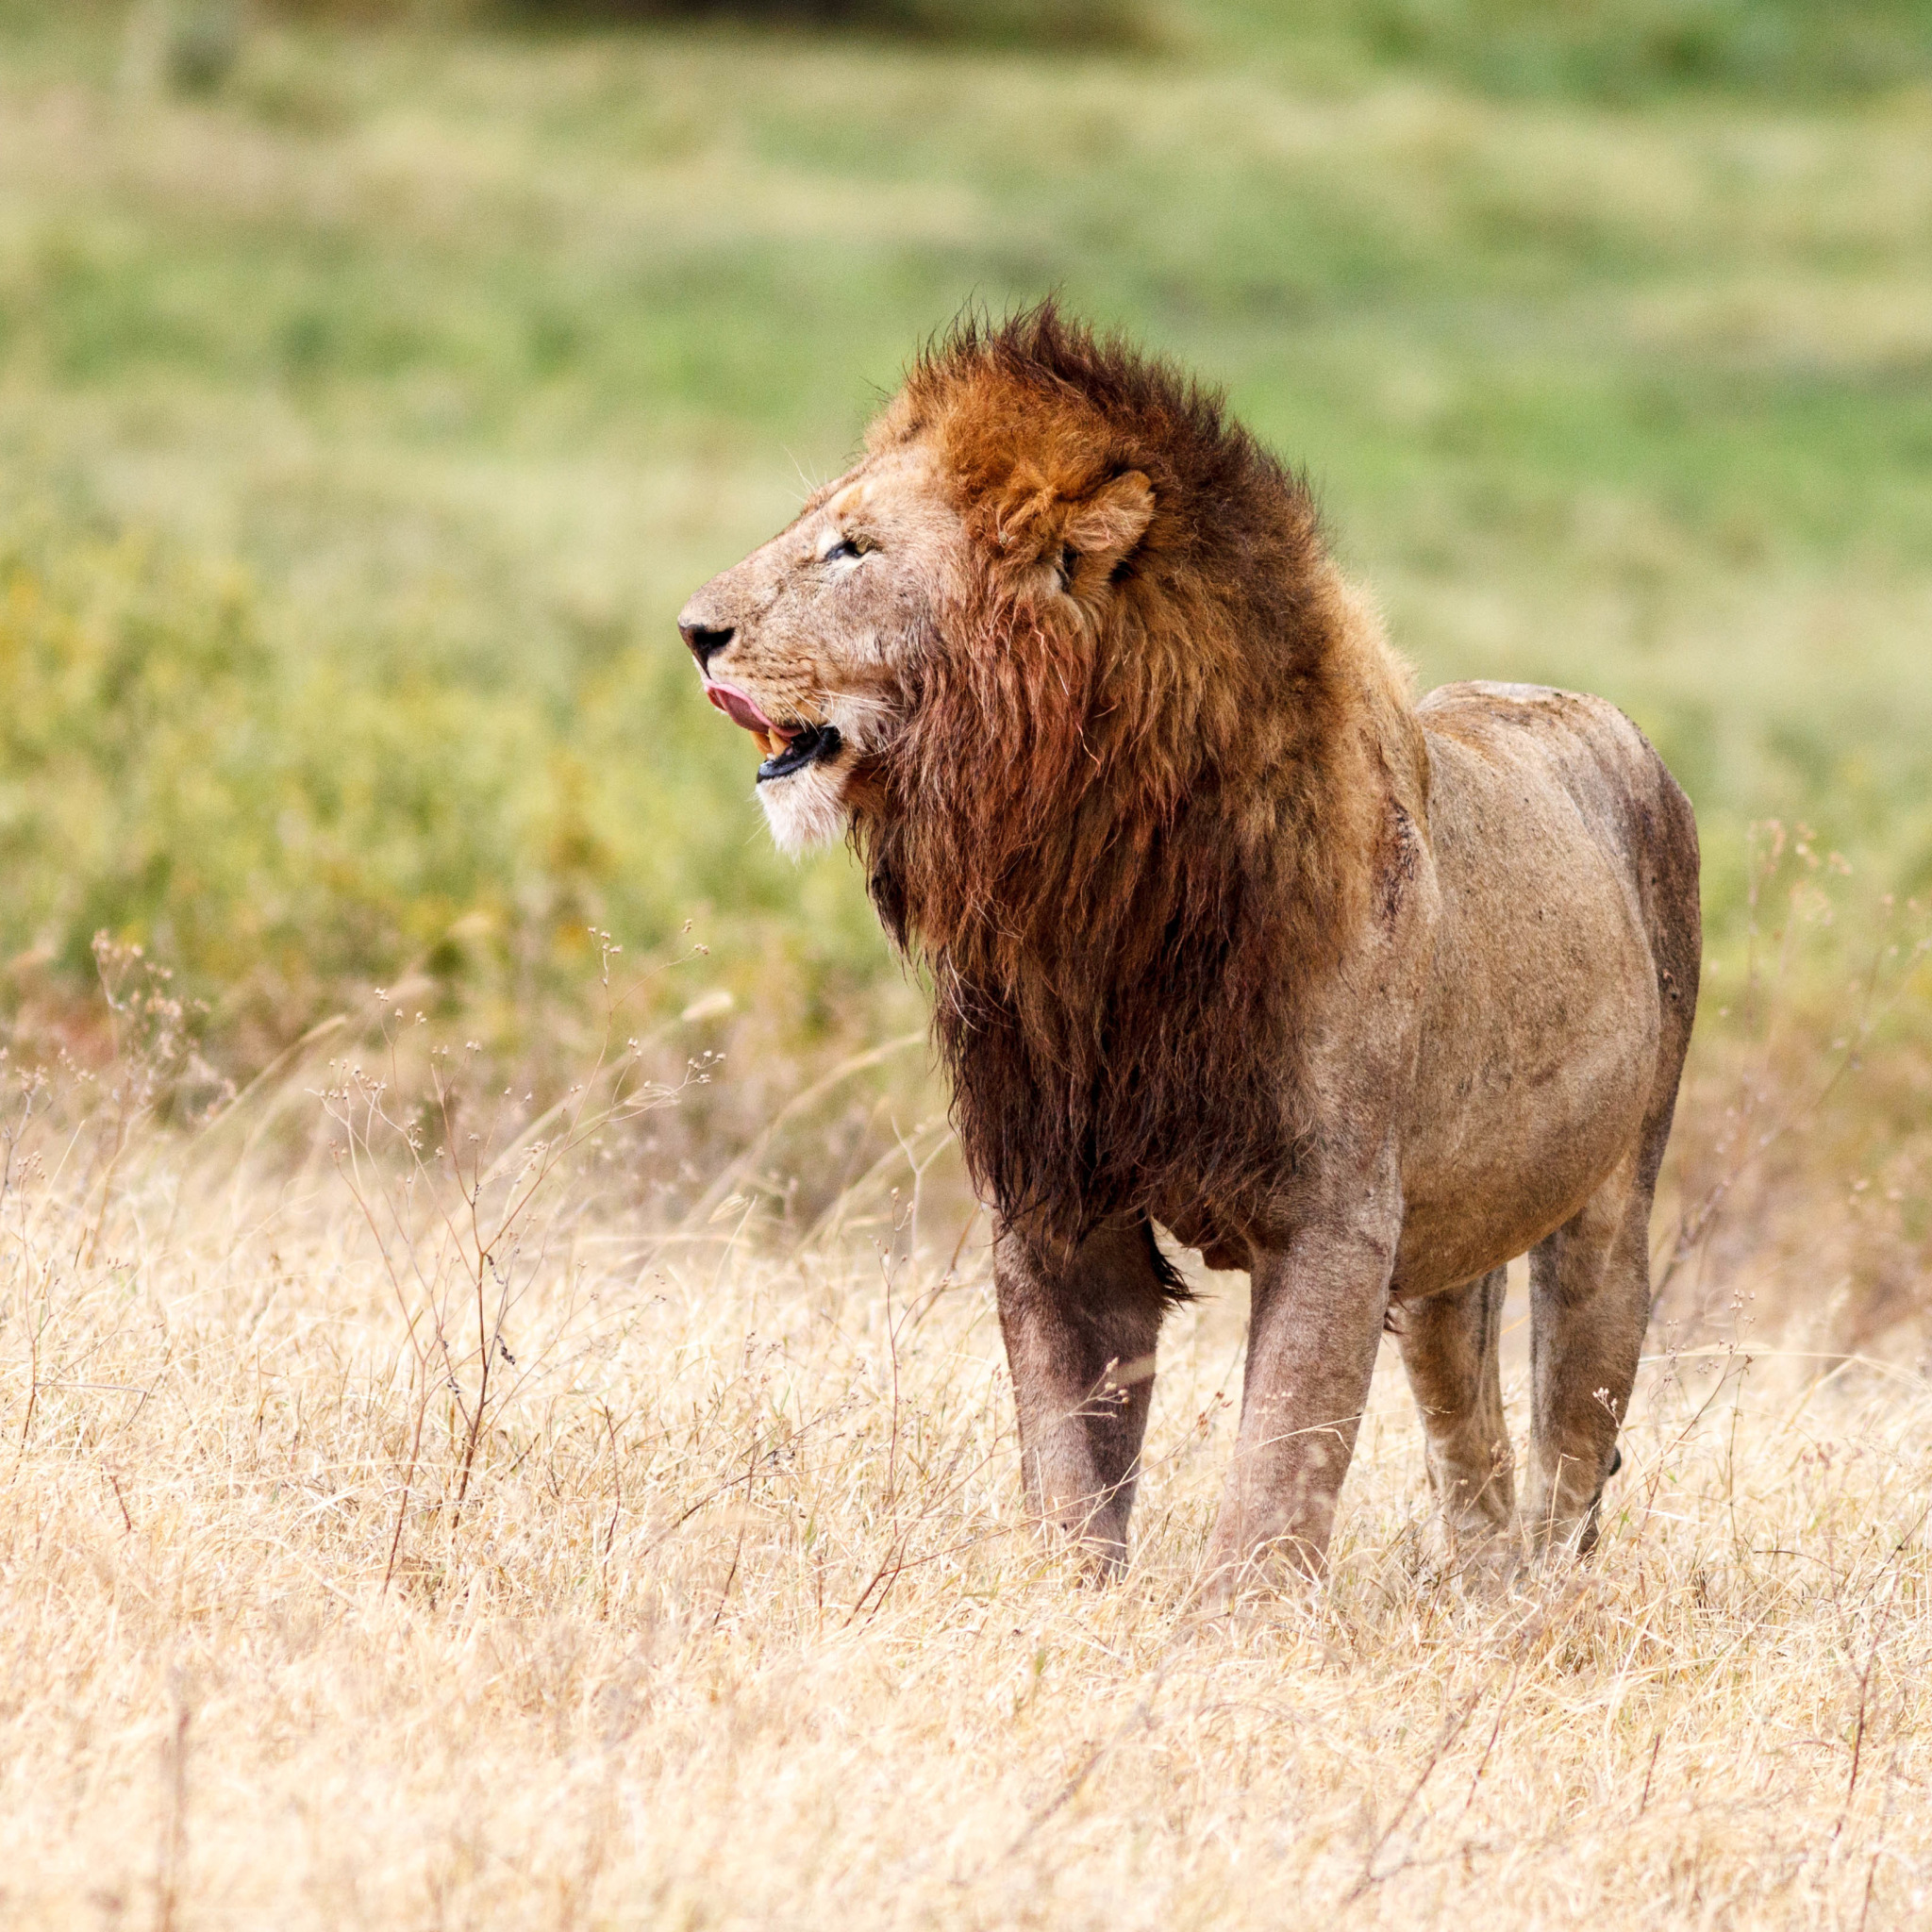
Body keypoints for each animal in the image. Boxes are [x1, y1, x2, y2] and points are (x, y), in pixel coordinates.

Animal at [675, 305, 1692, 1599]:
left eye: (851, 548)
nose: (693, 631)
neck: (1086, 873)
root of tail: (1585, 706)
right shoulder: (1057, 1202)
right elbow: (1071, 1451)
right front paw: (1063, 1612)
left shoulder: (1333, 1212)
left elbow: (1280, 1464)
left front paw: (1238, 1628)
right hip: (1453, 1247)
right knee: (1467, 1423)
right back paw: (1477, 1593)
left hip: (1611, 1201)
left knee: (1575, 1419)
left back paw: (1541, 1602)